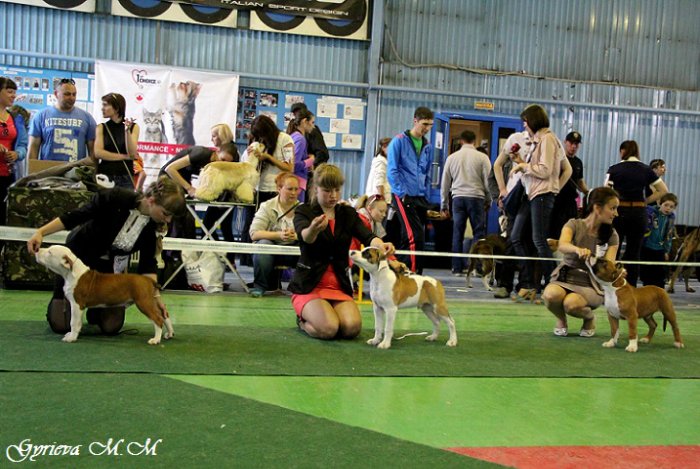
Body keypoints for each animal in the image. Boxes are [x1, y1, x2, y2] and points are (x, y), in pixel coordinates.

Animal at [35, 245, 174, 345]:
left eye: (49, 252)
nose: (36, 250)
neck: (71, 272)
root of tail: (148, 280)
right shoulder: (78, 306)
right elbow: (77, 322)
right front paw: (72, 335)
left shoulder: (77, 304)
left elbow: (73, 322)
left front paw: (71, 337)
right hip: (151, 300)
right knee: (164, 315)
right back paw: (169, 334)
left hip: (143, 302)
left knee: (158, 319)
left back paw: (155, 340)